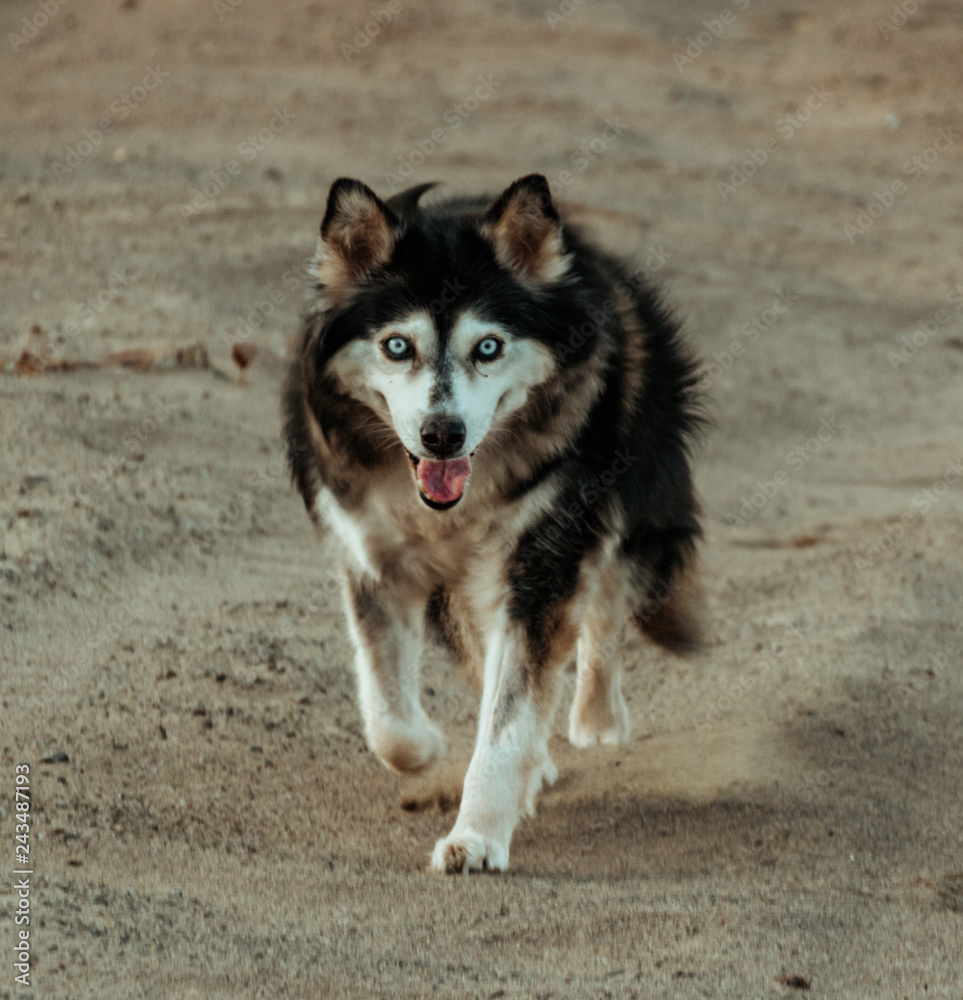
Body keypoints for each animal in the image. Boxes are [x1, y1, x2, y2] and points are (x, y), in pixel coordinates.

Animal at [282, 176, 704, 872]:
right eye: (397, 345)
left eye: (488, 347)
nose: (442, 434)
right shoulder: (373, 555)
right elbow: (389, 716)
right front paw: (428, 750)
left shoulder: (540, 561)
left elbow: (510, 714)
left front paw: (477, 835)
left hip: (625, 495)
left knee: (608, 602)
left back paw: (596, 718)